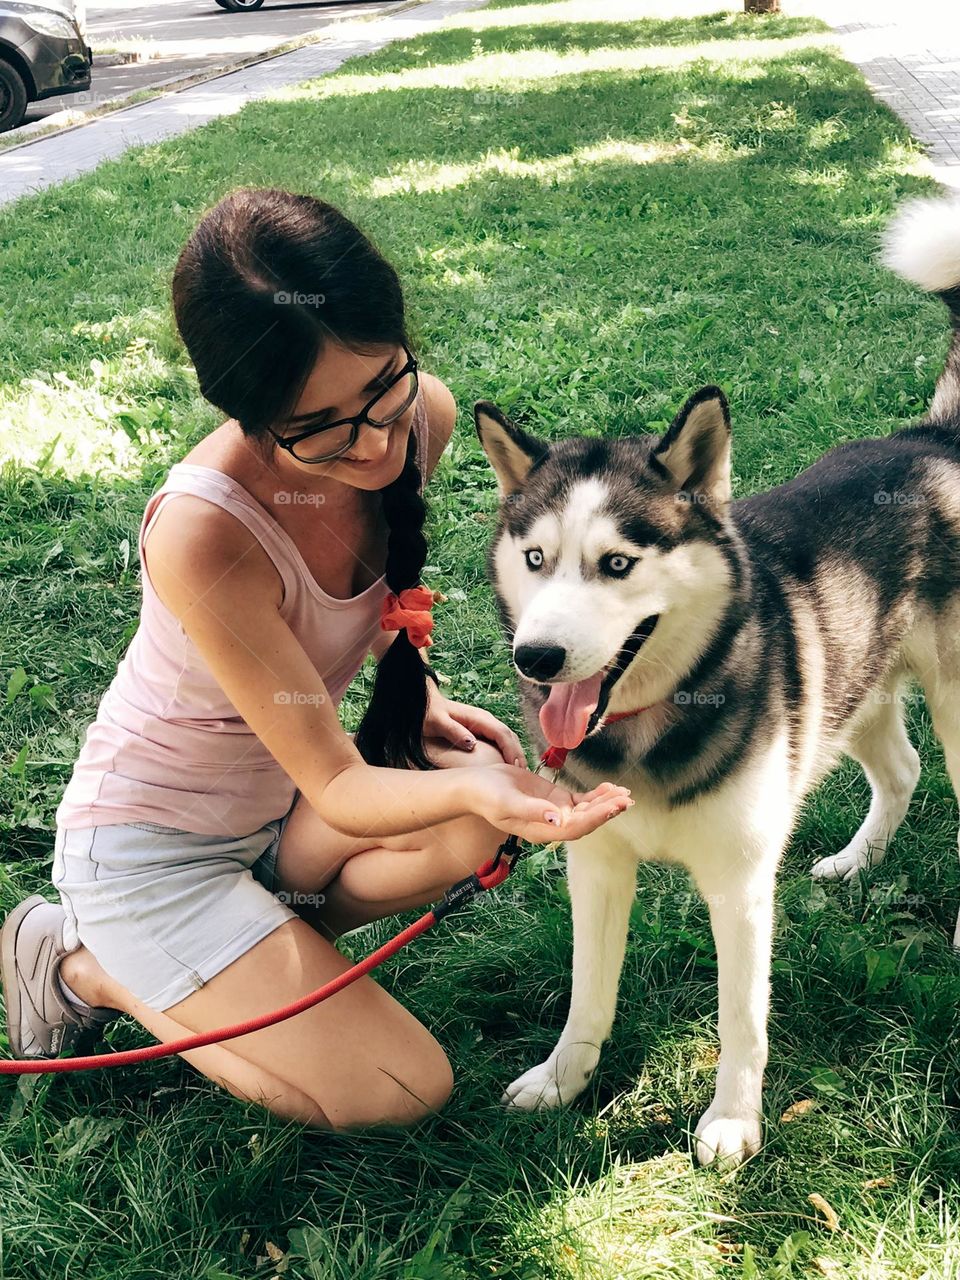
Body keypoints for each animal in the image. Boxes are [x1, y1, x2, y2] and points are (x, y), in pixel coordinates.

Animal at [478, 194, 960, 1167]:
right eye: (536, 559)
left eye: (617, 564)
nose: (534, 658)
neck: (646, 731)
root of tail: (931, 439)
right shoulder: (596, 865)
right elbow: (587, 991)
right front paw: (562, 1079)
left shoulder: (739, 885)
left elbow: (743, 1019)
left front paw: (733, 1121)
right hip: (852, 682)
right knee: (901, 772)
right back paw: (857, 860)